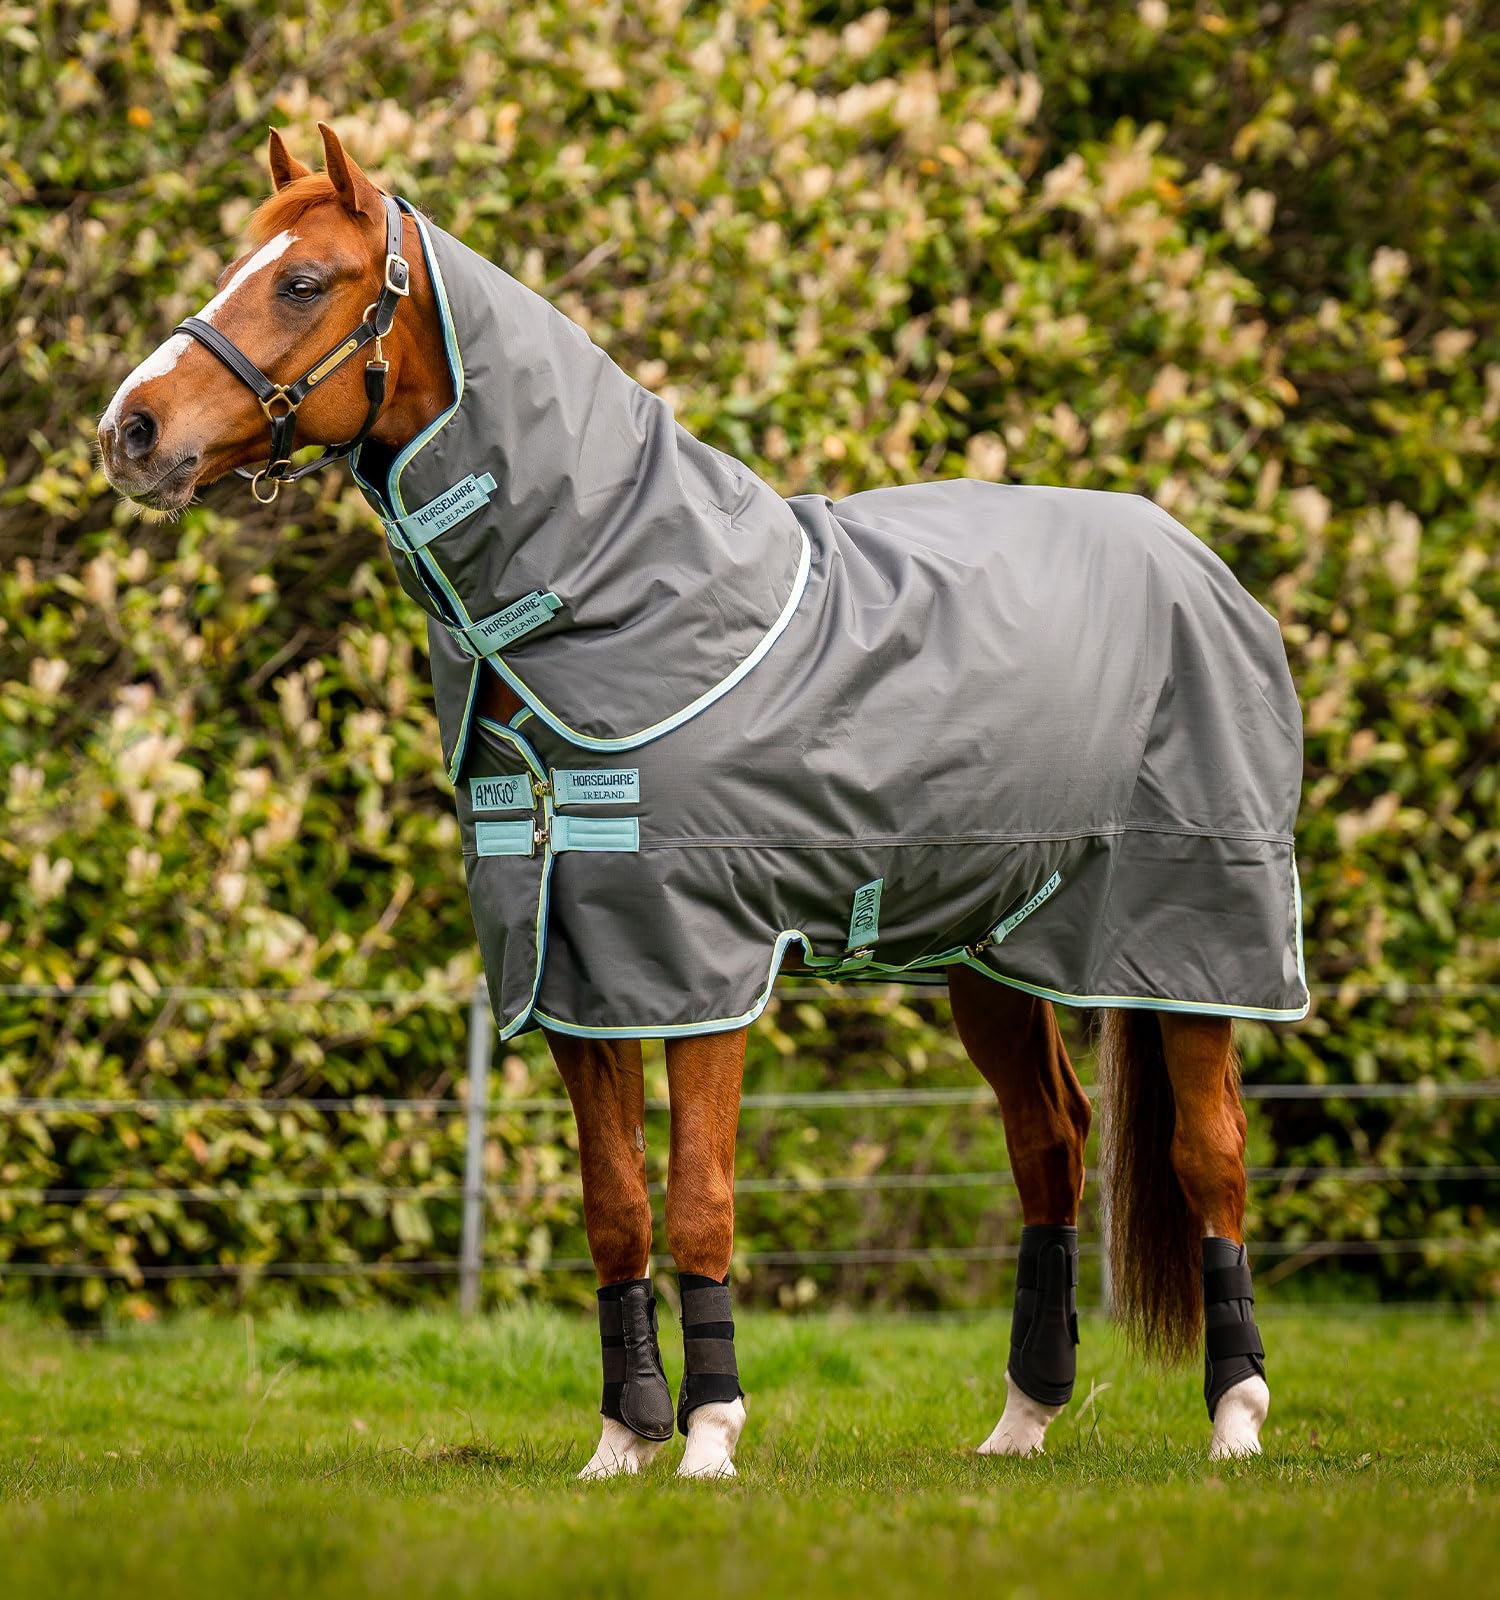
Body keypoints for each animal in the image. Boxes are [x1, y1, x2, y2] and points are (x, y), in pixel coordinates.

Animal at [99, 124, 1294, 1479]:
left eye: (303, 282)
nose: (131, 428)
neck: (623, 607)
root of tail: (1199, 563)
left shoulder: (704, 966)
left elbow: (699, 1200)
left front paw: (712, 1436)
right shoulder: (580, 974)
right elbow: (616, 1209)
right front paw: (622, 1440)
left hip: (1196, 939)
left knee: (1211, 1155)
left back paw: (1236, 1420)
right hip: (996, 954)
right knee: (1051, 1145)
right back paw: (1020, 1421)